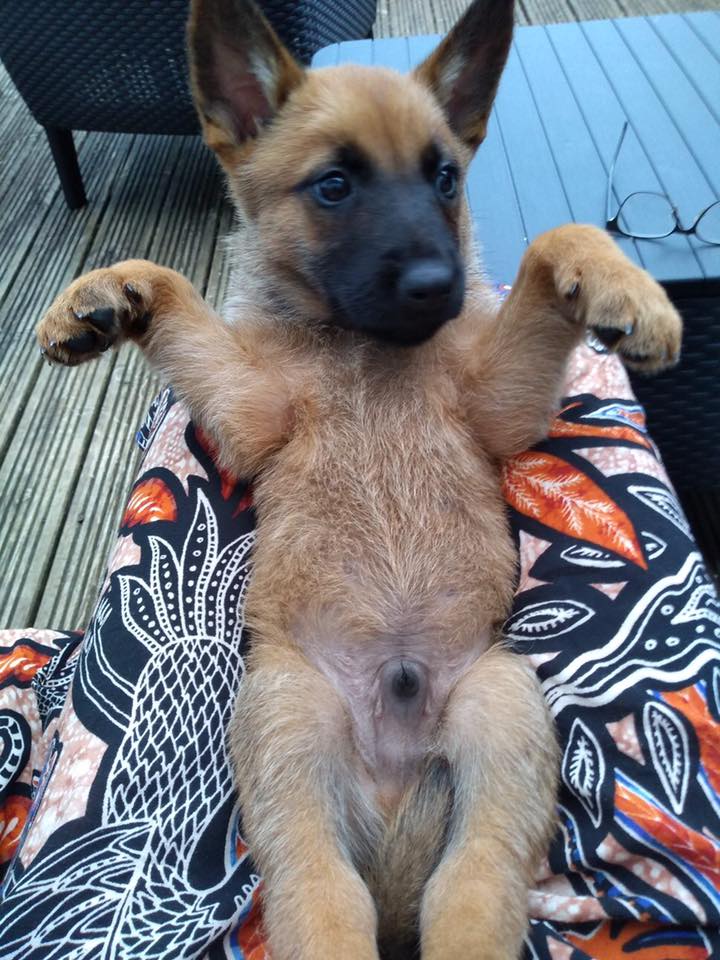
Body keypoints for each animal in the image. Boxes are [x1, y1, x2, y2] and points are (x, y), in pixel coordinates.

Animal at [36, 0, 682, 956]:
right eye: (334, 187)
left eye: (446, 178)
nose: (438, 285)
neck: (366, 352)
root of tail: (390, 774)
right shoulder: (250, 409)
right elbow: (181, 299)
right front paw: (111, 291)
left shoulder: (494, 403)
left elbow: (549, 243)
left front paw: (623, 285)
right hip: (289, 726)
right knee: (327, 896)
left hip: (500, 709)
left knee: (469, 890)